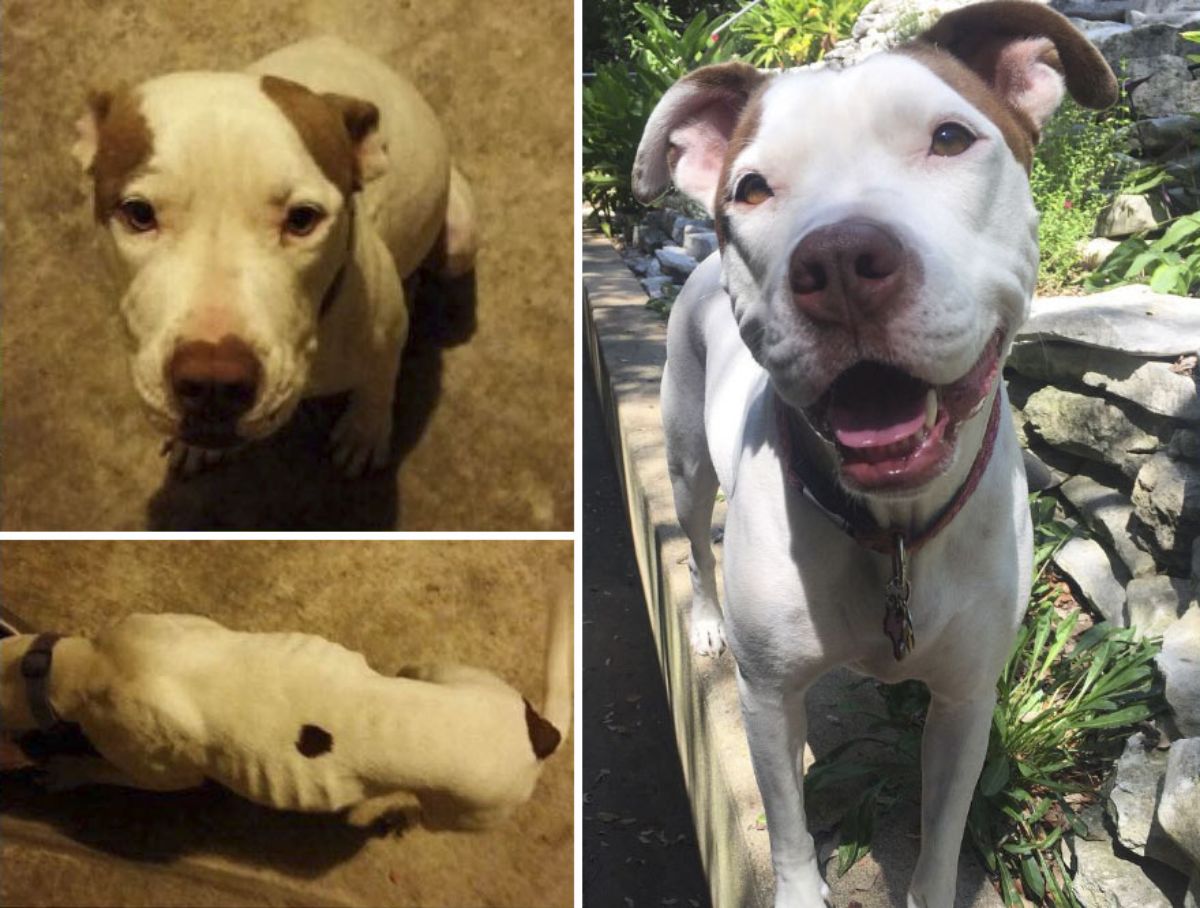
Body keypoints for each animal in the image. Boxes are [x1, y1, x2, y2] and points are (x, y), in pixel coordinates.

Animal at [0, 599, 571, 830]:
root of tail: (539, 733)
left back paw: (391, 814)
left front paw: (66, 771)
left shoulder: (161, 772)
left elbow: (107, 771)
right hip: (459, 674)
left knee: (425, 815)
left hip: (469, 812)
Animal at [72, 37, 475, 474]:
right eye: (139, 213)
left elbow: (378, 386)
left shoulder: (384, 343)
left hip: (461, 240)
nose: (213, 383)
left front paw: (364, 432)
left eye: (302, 219)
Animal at [638, 3, 1113, 902]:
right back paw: (706, 621)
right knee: (693, 546)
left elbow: (944, 832)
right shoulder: (767, 696)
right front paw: (797, 888)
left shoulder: (966, 700)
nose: (837, 263)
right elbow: (786, 823)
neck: (892, 527)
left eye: (951, 137)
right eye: (752, 188)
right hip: (685, 463)